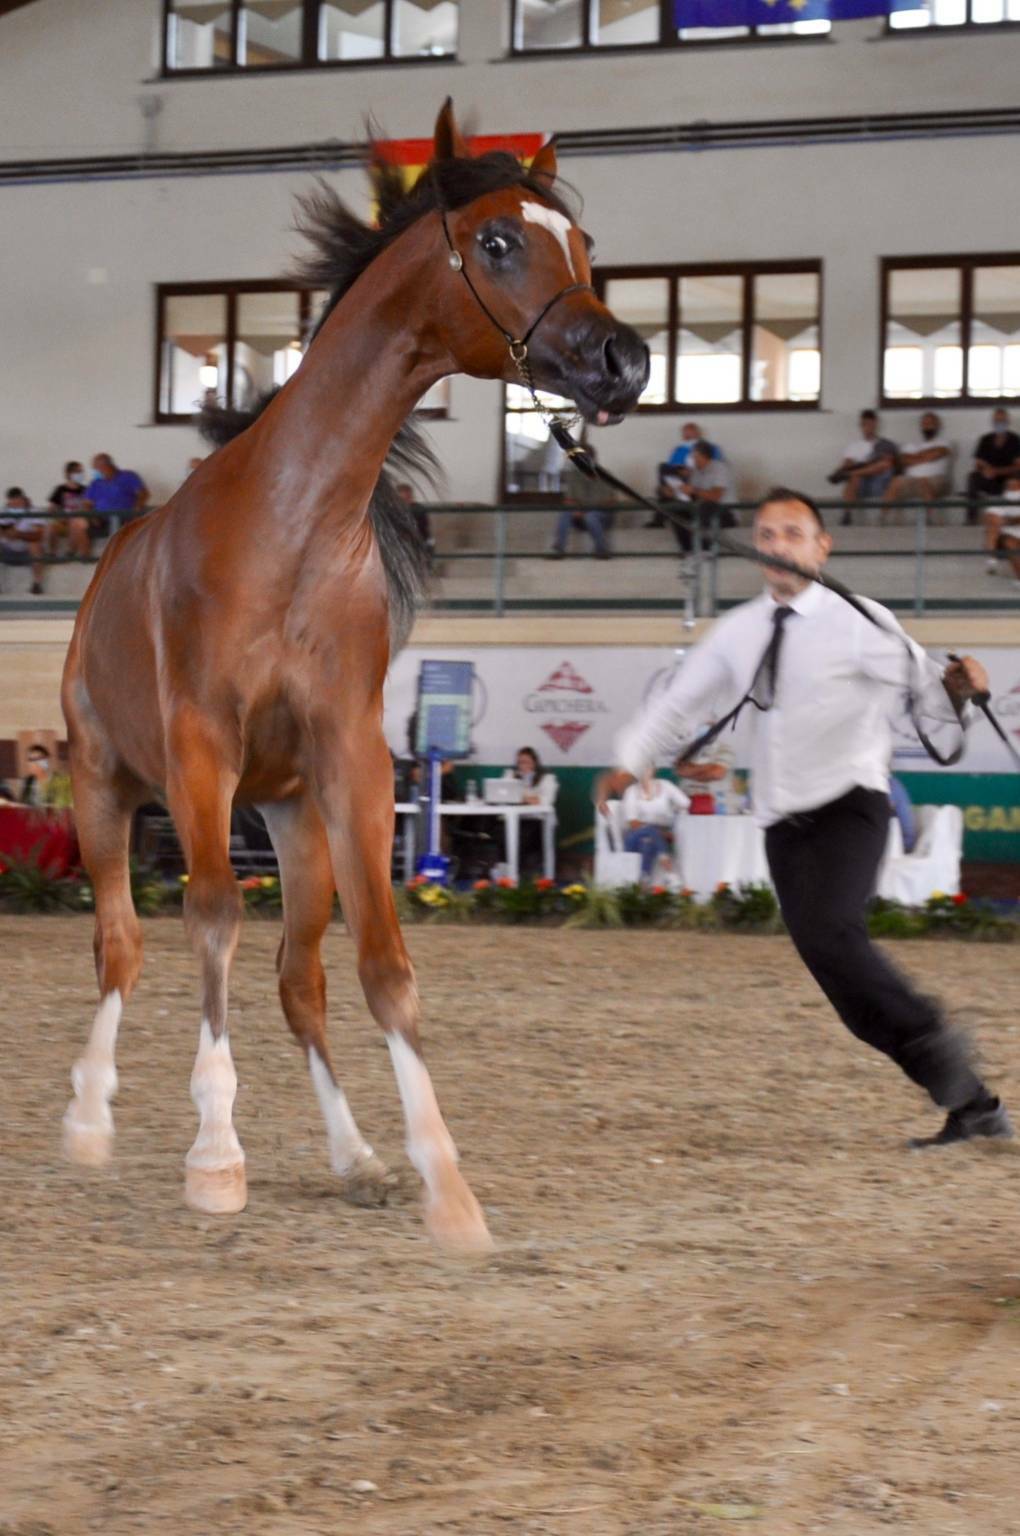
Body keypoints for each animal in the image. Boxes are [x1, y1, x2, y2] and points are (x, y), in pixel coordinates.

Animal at [59, 102, 648, 1253]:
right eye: (499, 241)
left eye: (586, 244)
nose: (626, 358)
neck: (292, 530)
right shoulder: (201, 752)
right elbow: (208, 918)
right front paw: (215, 1158)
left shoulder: (354, 769)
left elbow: (380, 966)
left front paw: (443, 1183)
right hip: (105, 787)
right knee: (121, 946)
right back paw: (90, 1120)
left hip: (293, 821)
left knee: (299, 980)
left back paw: (356, 1156)